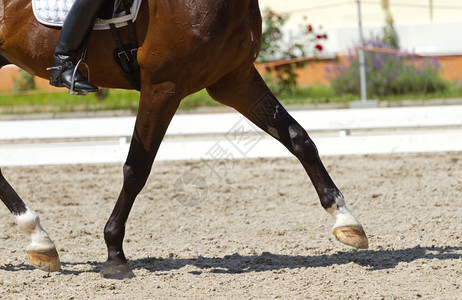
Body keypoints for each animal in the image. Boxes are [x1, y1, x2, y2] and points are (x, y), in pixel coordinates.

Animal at [0, 0, 368, 278]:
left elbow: (298, 138)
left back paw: (40, 240)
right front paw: (115, 254)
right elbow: (137, 167)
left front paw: (345, 219)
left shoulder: (234, 79)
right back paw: (38, 235)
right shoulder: (163, 85)